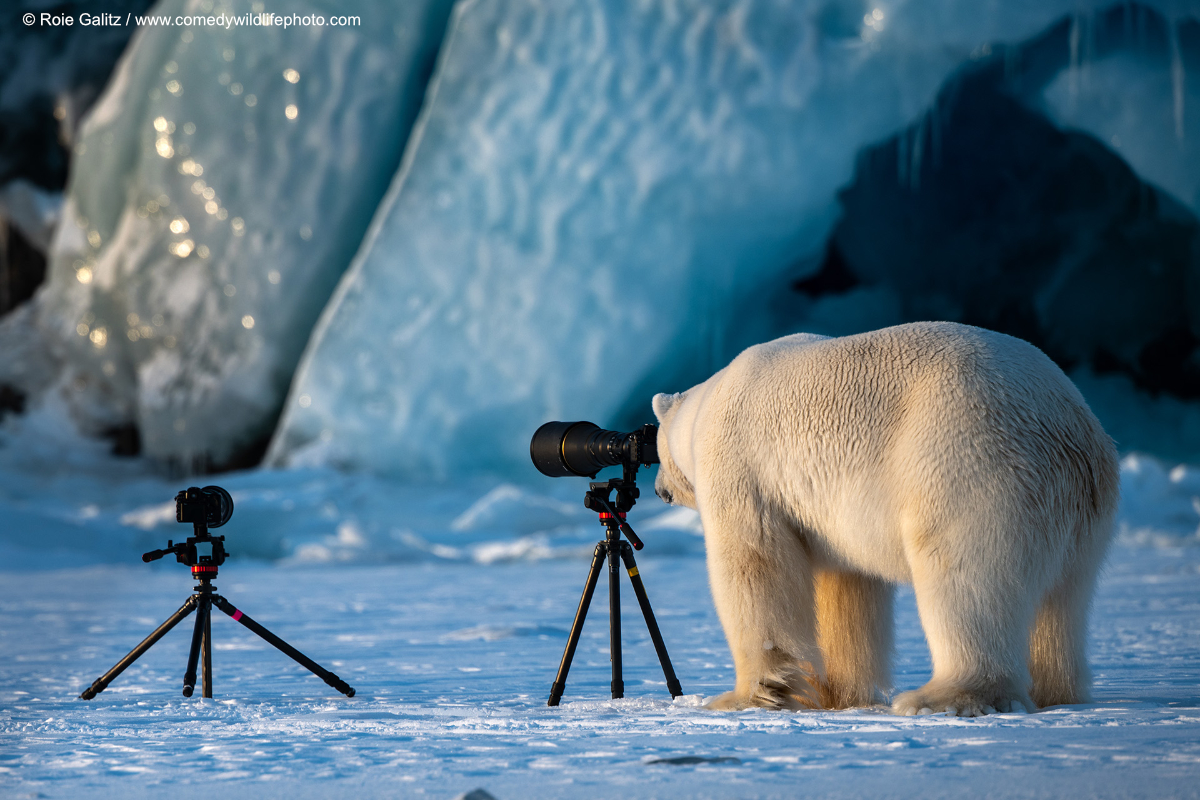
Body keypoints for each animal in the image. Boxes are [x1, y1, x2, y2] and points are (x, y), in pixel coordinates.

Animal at [652, 321, 1118, 714]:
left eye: (654, 449)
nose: (658, 490)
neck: (705, 407)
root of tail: (1069, 428)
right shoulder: (831, 514)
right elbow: (847, 587)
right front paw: (835, 694)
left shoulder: (741, 467)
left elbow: (754, 565)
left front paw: (747, 697)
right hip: (1080, 514)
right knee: (1064, 601)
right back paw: (1057, 692)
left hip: (971, 466)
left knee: (965, 579)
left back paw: (939, 697)